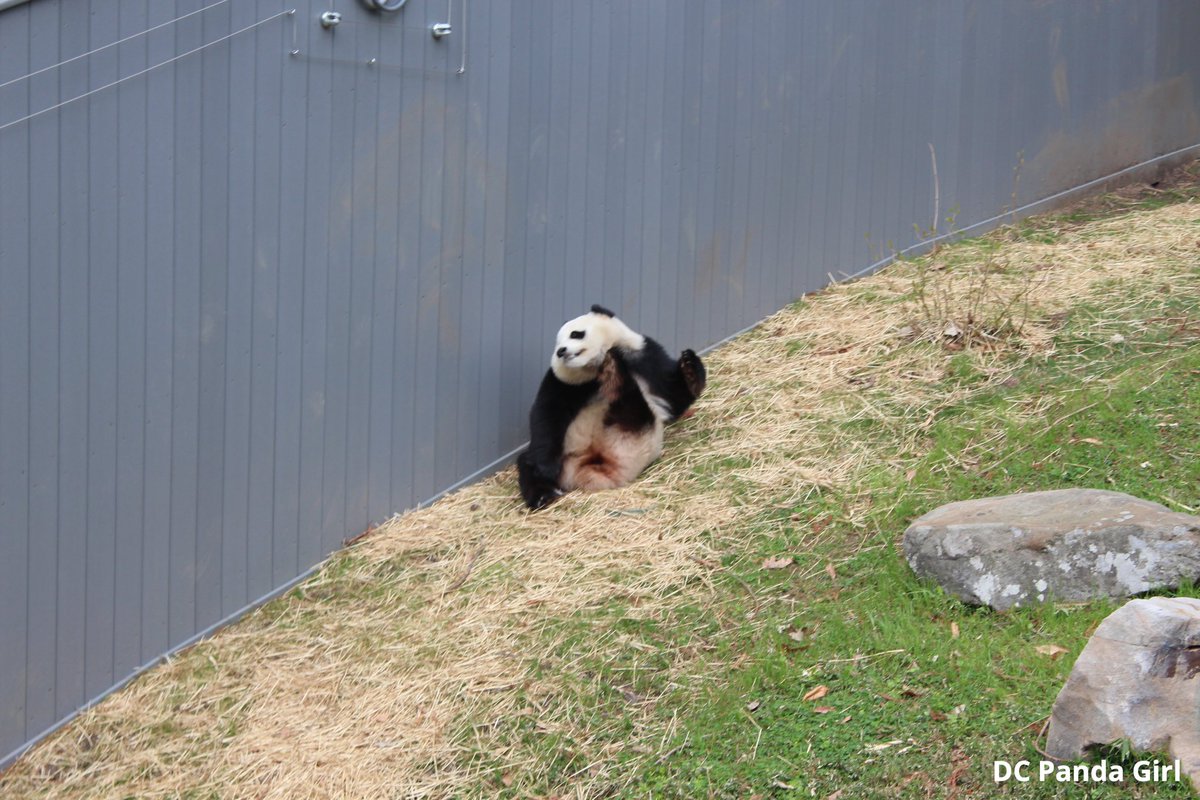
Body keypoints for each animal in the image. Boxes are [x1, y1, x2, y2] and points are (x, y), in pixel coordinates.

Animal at [516, 305, 707, 510]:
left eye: (575, 334)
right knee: (528, 463)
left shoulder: (644, 355)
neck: (593, 369)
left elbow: (673, 396)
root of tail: (586, 466)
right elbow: (547, 414)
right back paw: (543, 495)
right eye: (557, 343)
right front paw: (547, 468)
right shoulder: (563, 382)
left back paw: (615, 374)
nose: (561, 351)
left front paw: (689, 368)